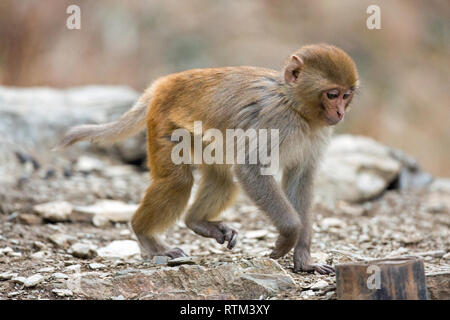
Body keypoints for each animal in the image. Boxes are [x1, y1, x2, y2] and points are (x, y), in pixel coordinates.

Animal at [56, 43, 358, 276]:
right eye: (332, 94)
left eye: (346, 95)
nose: (340, 113)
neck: (295, 106)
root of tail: (164, 83)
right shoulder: (276, 121)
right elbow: (250, 170)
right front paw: (287, 236)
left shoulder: (316, 134)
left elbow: (300, 180)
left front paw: (304, 258)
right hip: (165, 123)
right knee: (178, 180)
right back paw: (146, 236)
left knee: (224, 180)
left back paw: (197, 222)